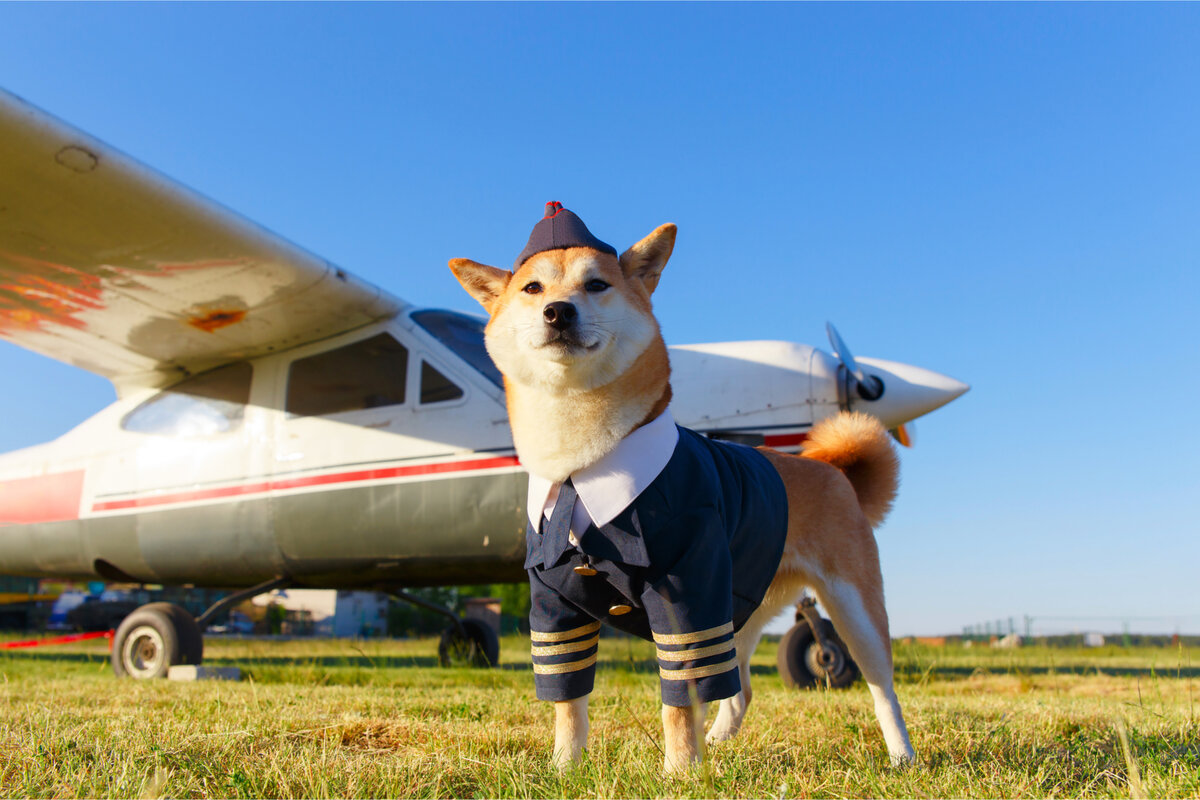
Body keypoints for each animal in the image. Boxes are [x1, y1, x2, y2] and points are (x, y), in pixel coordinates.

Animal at [446, 203, 912, 772]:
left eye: (596, 284)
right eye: (533, 288)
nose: (558, 311)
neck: (581, 468)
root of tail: (832, 469)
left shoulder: (686, 593)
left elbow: (678, 698)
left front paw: (679, 771)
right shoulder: (553, 603)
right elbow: (568, 700)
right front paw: (564, 767)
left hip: (851, 605)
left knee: (882, 688)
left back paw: (902, 755)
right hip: (741, 604)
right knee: (739, 690)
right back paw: (720, 741)